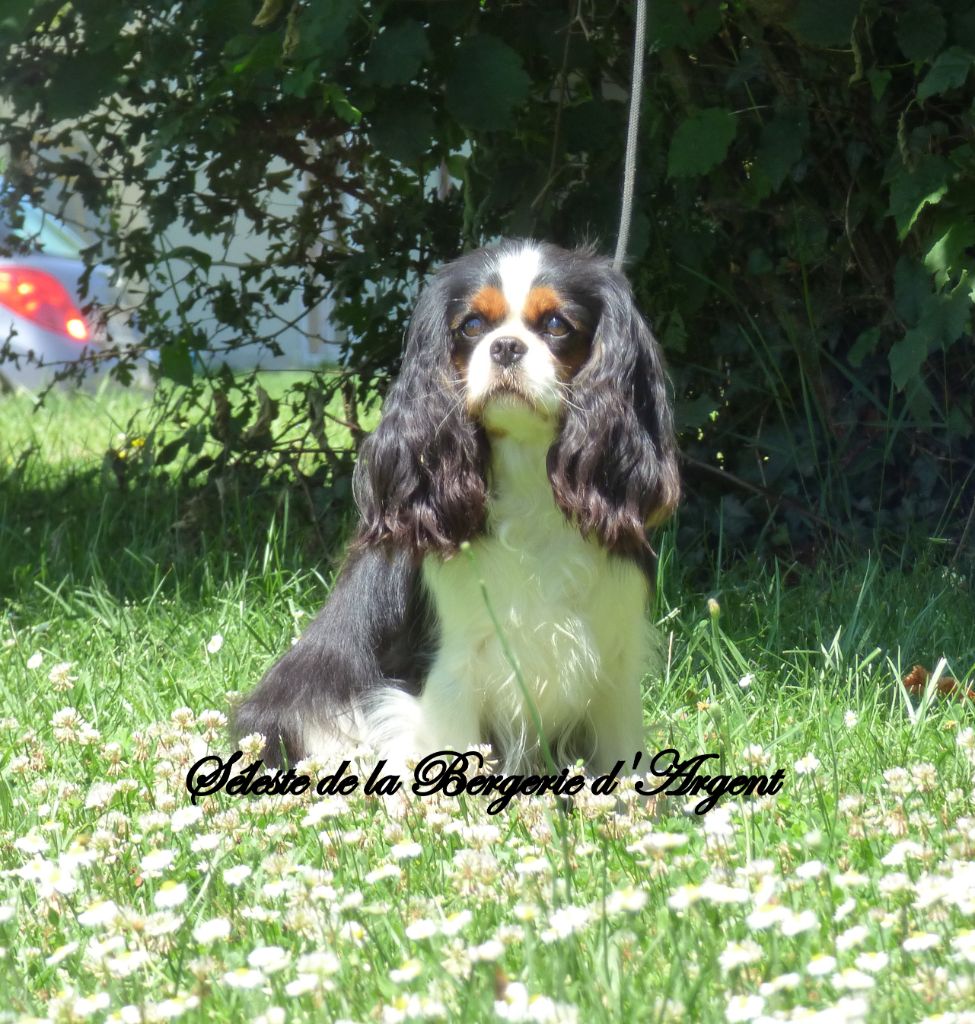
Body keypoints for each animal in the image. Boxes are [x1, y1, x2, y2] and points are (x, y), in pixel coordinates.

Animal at [234, 239, 680, 778]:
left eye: (556, 325)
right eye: (471, 326)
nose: (505, 346)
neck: (528, 479)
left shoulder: (614, 661)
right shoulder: (448, 671)